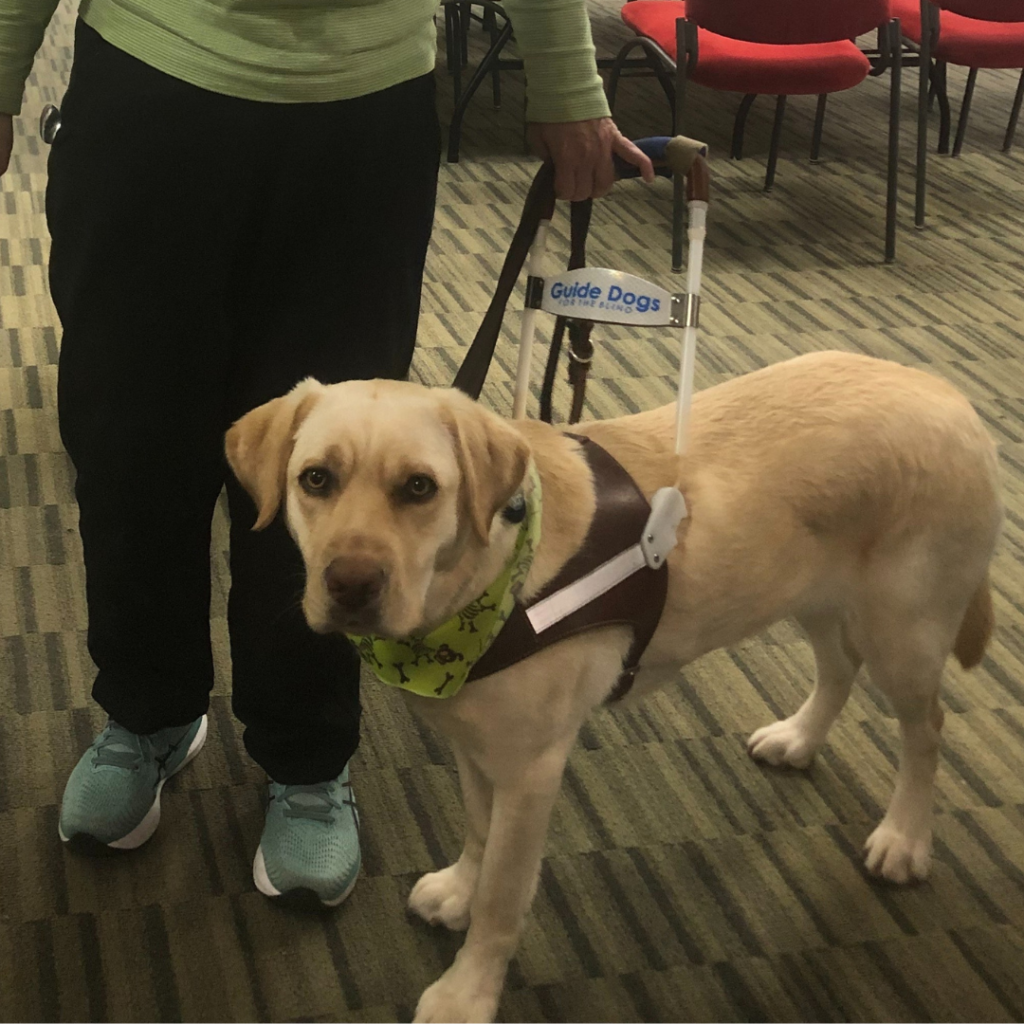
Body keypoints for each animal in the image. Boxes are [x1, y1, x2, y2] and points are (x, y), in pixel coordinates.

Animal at [224, 350, 999, 1015]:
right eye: (315, 479)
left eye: (419, 488)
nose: (351, 585)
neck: (482, 586)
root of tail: (949, 395)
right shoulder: (478, 747)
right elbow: (478, 831)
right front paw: (459, 890)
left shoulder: (533, 769)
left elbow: (504, 898)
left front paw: (467, 993)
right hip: (806, 590)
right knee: (838, 668)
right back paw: (800, 738)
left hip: (903, 629)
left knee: (926, 728)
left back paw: (904, 838)